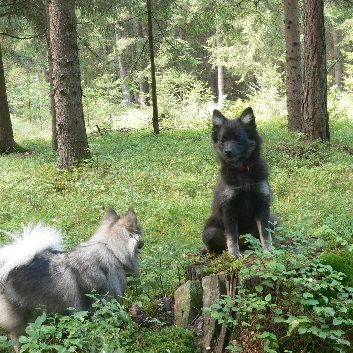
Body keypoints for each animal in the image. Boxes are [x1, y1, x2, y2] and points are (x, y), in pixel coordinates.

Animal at [202, 106, 270, 256]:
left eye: (238, 139)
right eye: (223, 140)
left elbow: (265, 233)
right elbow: (232, 235)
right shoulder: (229, 208)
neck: (242, 172)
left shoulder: (262, 204)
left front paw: (268, 251)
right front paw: (234, 254)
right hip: (209, 232)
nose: (227, 152)